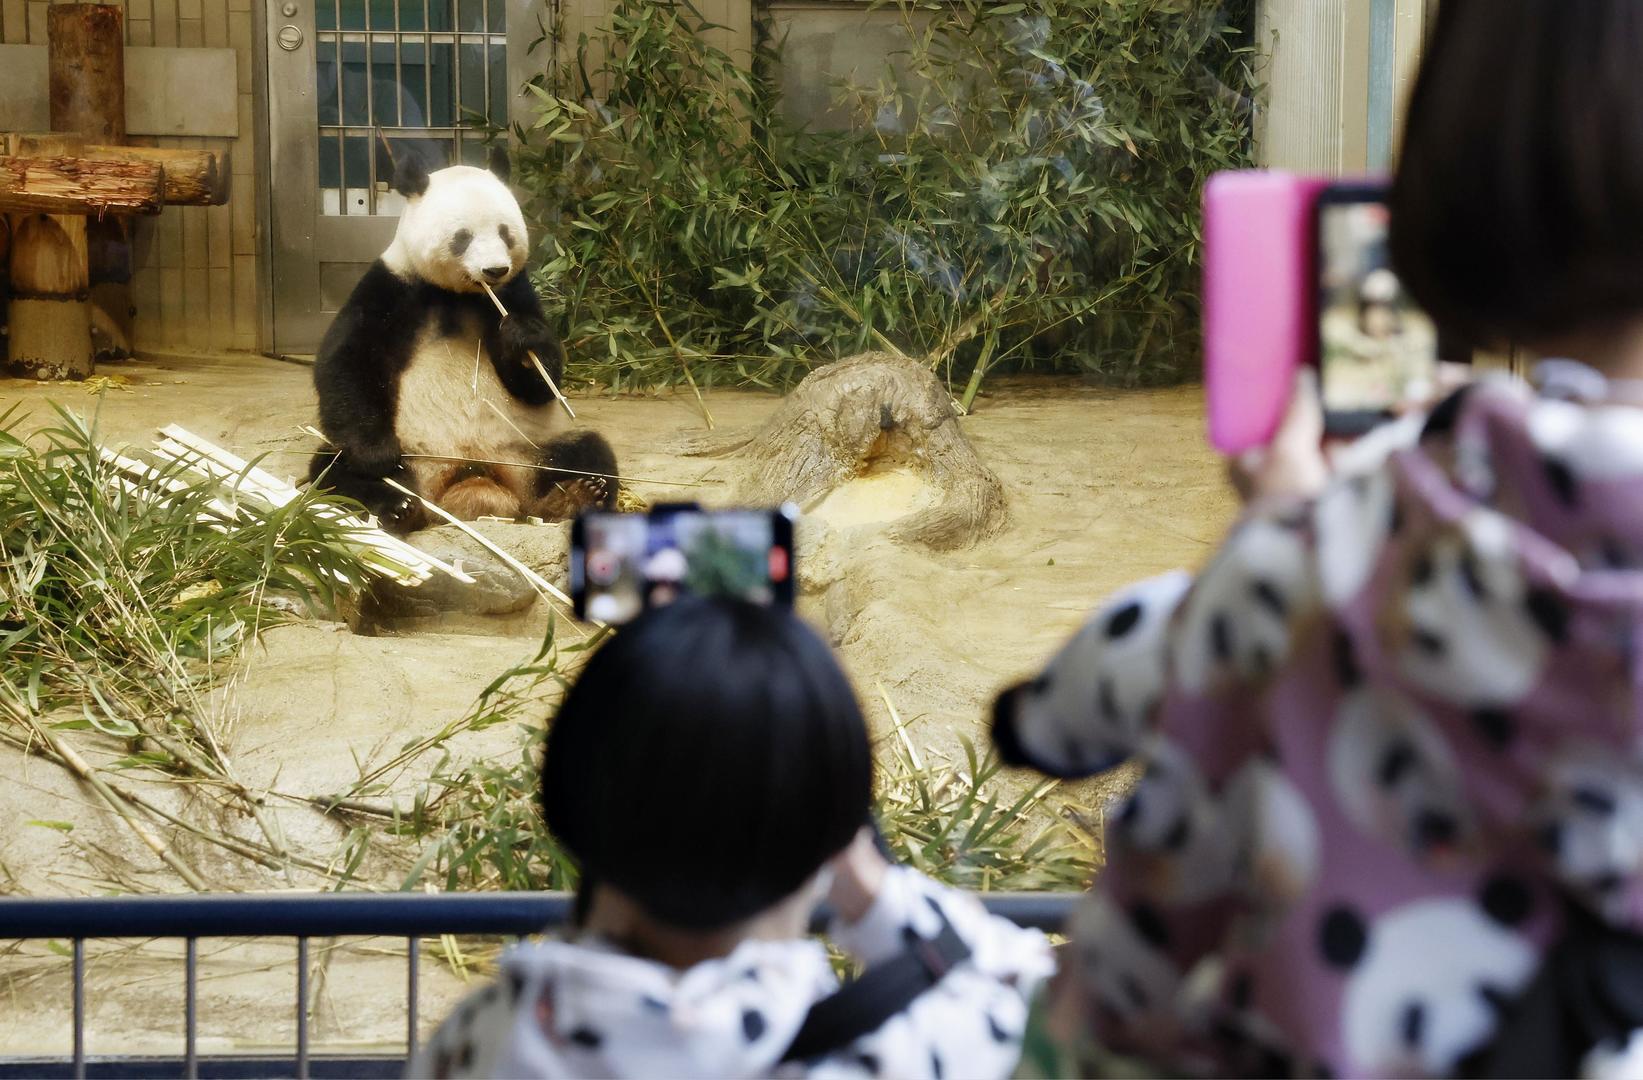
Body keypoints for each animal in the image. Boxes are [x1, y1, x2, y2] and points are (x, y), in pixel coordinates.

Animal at [307, 145, 617, 532]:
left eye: (505, 232)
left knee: (588, 451)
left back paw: (574, 497)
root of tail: (471, 480)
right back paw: (397, 506)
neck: (459, 295)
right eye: (463, 237)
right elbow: (349, 360)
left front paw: (521, 338)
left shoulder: (515, 292)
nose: (495, 270)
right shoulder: (394, 286)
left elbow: (542, 384)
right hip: (417, 457)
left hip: (528, 452)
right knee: (332, 471)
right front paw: (376, 454)